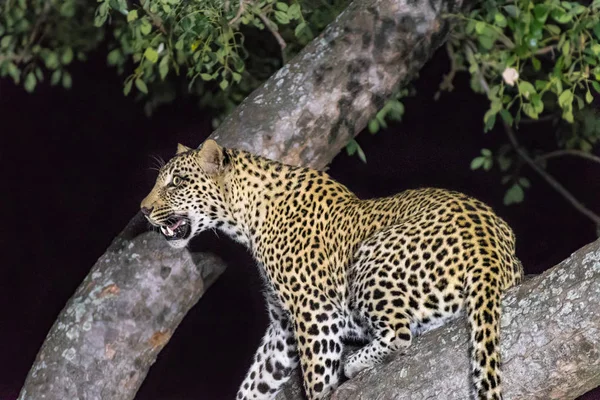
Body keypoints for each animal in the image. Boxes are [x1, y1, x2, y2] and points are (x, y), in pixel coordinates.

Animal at [139, 139, 520, 398]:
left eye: (176, 182)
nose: (143, 209)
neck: (245, 219)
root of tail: (488, 249)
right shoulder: (282, 325)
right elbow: (257, 380)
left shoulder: (314, 309)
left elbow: (315, 375)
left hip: (370, 258)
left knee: (400, 332)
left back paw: (354, 362)